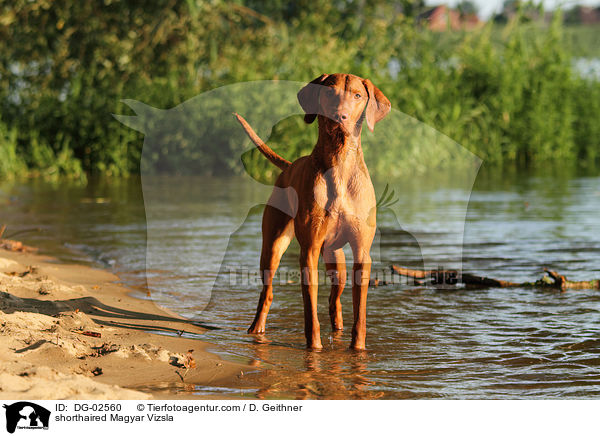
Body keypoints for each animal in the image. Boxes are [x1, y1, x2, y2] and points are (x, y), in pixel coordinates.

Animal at [237, 73, 392, 350]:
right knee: (267, 293)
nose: (340, 117)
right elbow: (310, 309)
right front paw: (314, 348)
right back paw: (256, 329)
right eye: (329, 92)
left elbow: (360, 313)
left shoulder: (362, 253)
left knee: (334, 300)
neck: (339, 164)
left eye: (357, 95)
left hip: (337, 260)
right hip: (273, 247)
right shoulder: (309, 251)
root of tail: (290, 165)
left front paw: (358, 349)